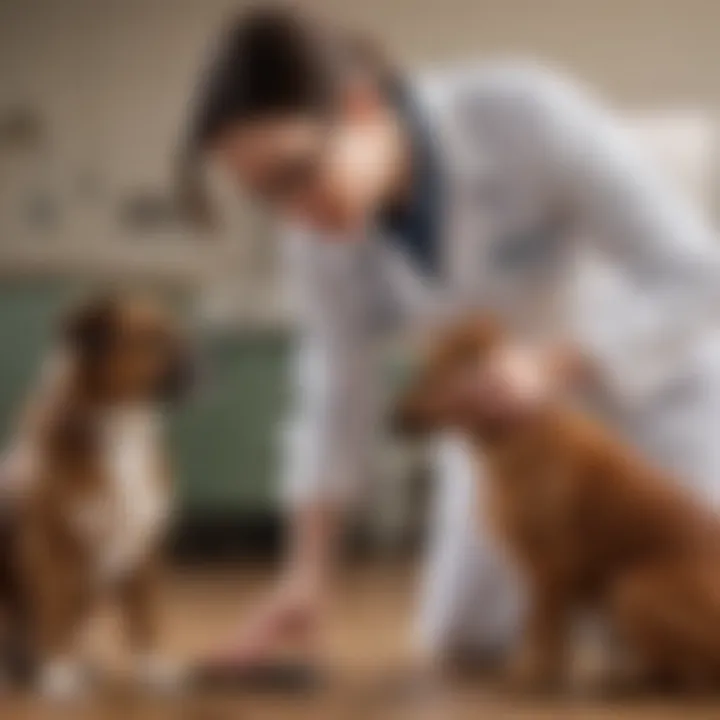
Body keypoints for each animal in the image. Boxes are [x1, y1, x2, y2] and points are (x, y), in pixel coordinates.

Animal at [0, 294, 194, 696]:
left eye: (180, 336)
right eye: (151, 340)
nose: (199, 362)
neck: (121, 425)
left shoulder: (144, 551)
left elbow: (145, 618)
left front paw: (154, 667)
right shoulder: (50, 548)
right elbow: (54, 612)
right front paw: (58, 672)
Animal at [394, 314, 720, 692]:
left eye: (435, 374)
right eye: (419, 371)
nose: (391, 418)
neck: (513, 434)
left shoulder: (551, 566)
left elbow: (544, 632)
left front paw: (534, 675)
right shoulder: (538, 571)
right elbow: (540, 629)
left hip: (634, 590)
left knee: (694, 672)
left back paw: (627, 677)